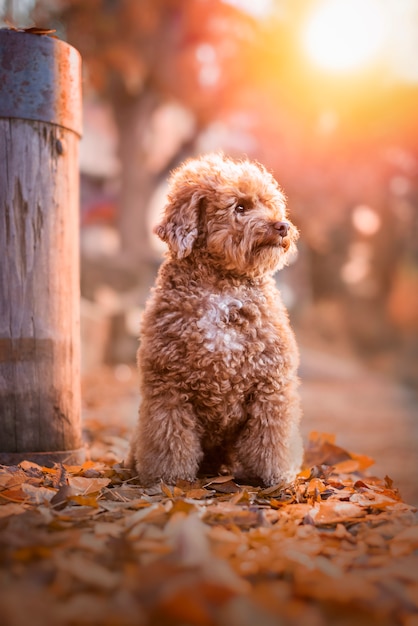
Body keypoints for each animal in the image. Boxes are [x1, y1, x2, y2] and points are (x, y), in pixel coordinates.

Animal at [125, 154, 302, 486]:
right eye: (240, 208)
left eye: (269, 203)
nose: (282, 226)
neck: (223, 287)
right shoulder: (167, 388)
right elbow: (170, 439)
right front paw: (168, 477)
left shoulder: (270, 385)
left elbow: (271, 437)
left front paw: (274, 475)